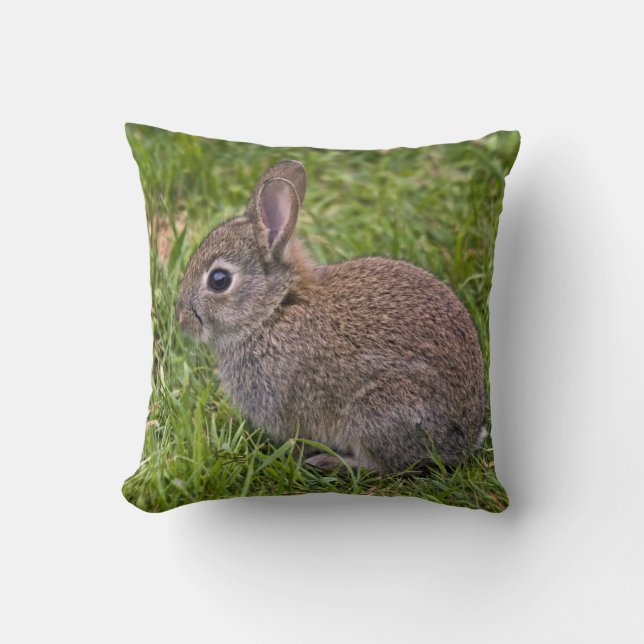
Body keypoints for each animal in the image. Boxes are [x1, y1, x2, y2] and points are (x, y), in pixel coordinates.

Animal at [176, 160, 487, 473]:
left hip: (378, 410)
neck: (272, 310)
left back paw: (331, 461)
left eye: (219, 280)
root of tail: (464, 439)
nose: (181, 319)